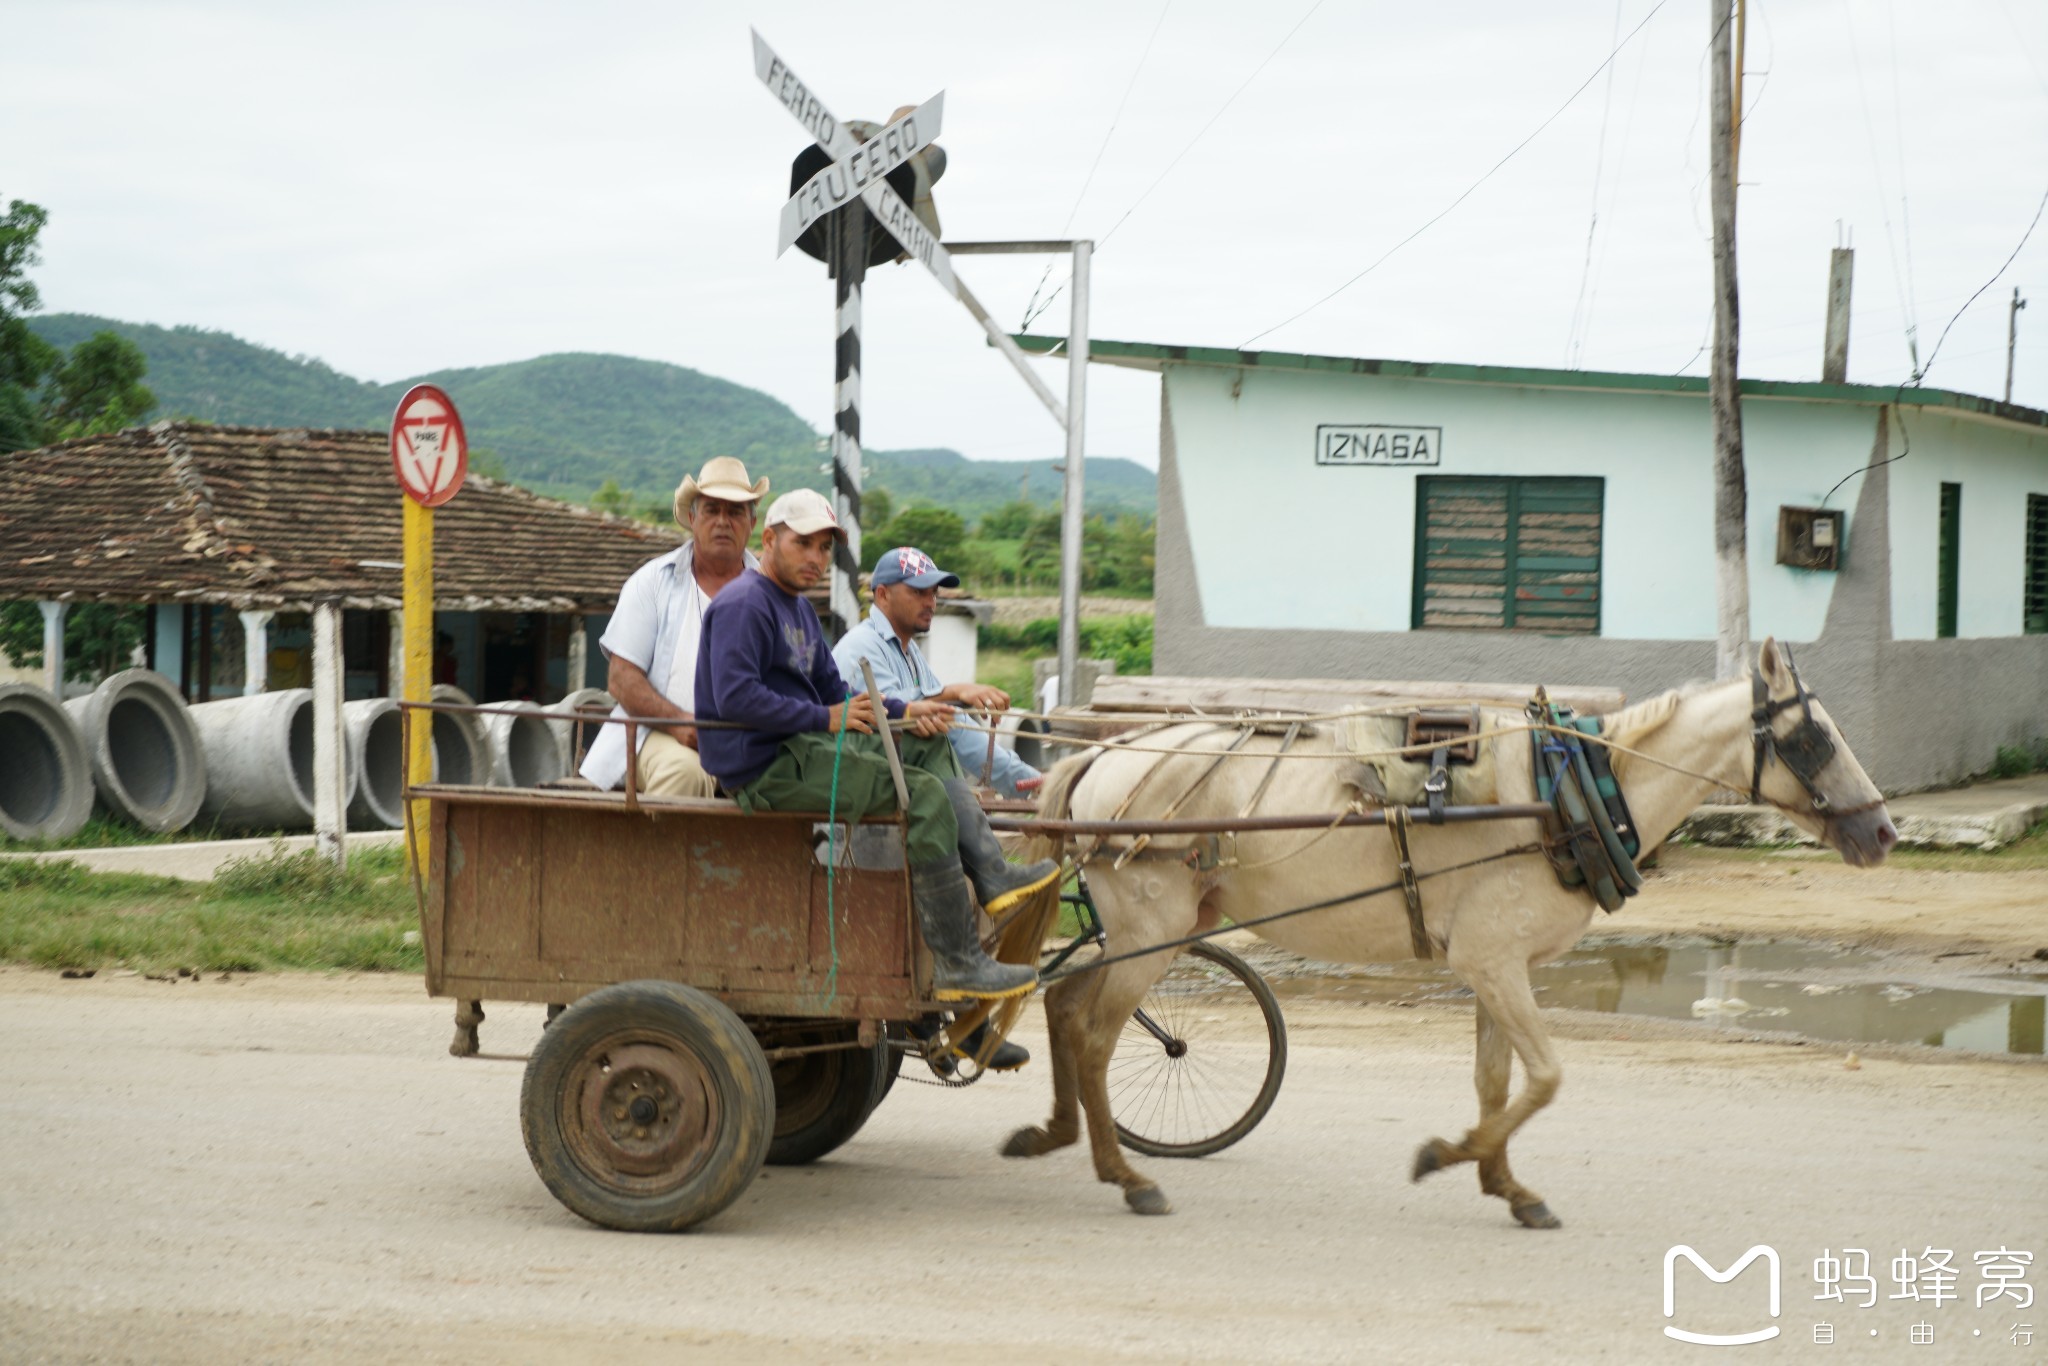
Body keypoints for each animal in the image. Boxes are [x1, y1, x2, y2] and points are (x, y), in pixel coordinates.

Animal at [999, 643, 1892, 1228]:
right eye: (1815, 737)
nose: (1883, 831)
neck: (1569, 789)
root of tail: (1101, 755)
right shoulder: (1494, 961)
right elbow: (1546, 1078)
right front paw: (1449, 1156)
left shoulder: (1496, 964)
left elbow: (1498, 1084)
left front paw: (1508, 1185)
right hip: (1151, 924)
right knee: (1092, 1034)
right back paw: (1125, 1174)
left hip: (1164, 927)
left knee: (1064, 1007)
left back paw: (1056, 1133)